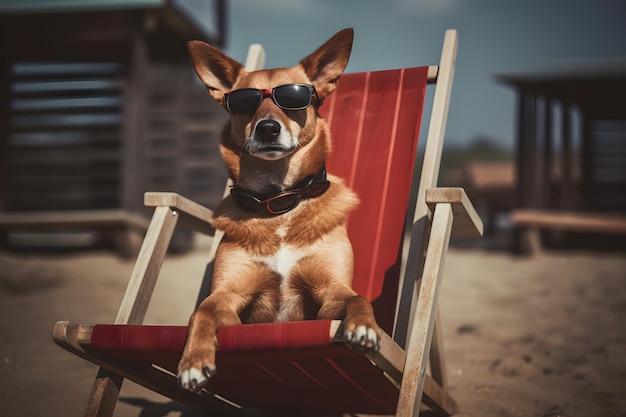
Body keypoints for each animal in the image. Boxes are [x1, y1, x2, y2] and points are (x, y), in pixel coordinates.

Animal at [177, 29, 380, 390]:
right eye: (244, 102)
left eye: (294, 98)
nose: (268, 128)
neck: (279, 204)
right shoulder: (228, 295)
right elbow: (201, 311)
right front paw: (193, 361)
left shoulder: (331, 292)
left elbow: (357, 297)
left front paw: (364, 327)